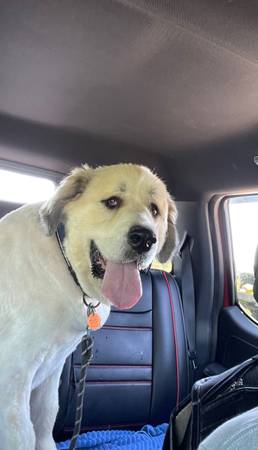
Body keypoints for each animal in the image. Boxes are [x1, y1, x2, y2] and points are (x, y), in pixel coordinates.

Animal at [0, 163, 177, 448]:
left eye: (154, 210)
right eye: (112, 202)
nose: (144, 238)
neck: (65, 262)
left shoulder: (51, 369)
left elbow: (45, 416)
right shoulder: (11, 379)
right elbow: (23, 434)